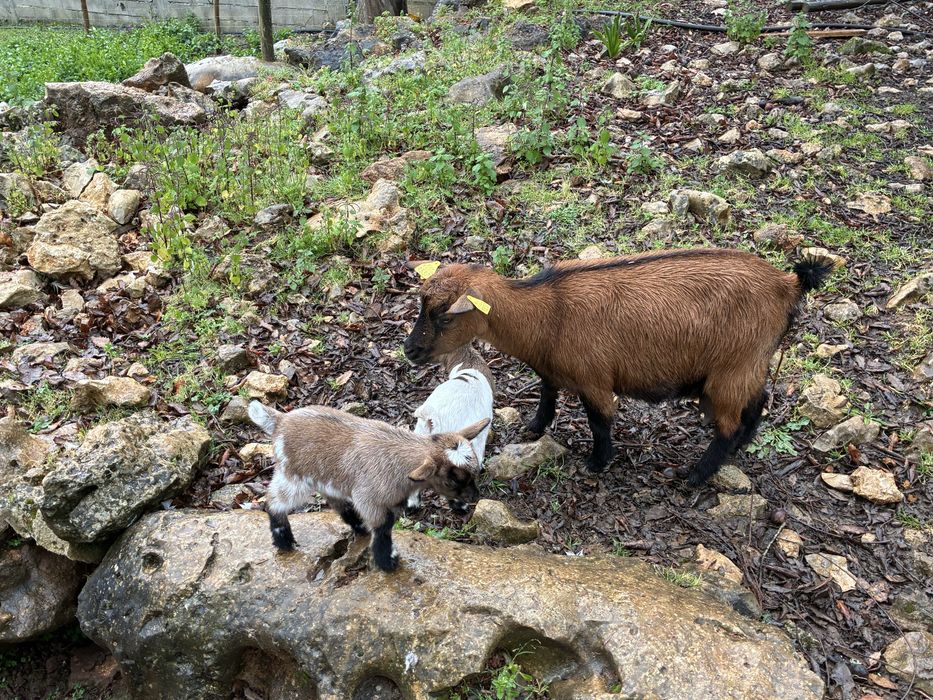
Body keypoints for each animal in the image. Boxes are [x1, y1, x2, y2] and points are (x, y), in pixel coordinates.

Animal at [248, 400, 488, 572]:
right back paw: (283, 540)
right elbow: (384, 526)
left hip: (326, 479)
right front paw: (387, 562)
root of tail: (281, 420)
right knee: (275, 501)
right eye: (453, 479)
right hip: (294, 476)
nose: (475, 497)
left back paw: (359, 527)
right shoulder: (369, 499)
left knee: (336, 502)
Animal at [404, 248, 832, 485]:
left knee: (727, 425)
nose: (409, 351)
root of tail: (788, 285)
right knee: (758, 402)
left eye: (445, 316)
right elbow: (547, 393)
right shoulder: (552, 367)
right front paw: (534, 428)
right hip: (750, 366)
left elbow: (599, 421)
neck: (548, 312)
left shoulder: (595, 379)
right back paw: (742, 444)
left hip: (732, 370)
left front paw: (597, 462)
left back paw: (696, 475)